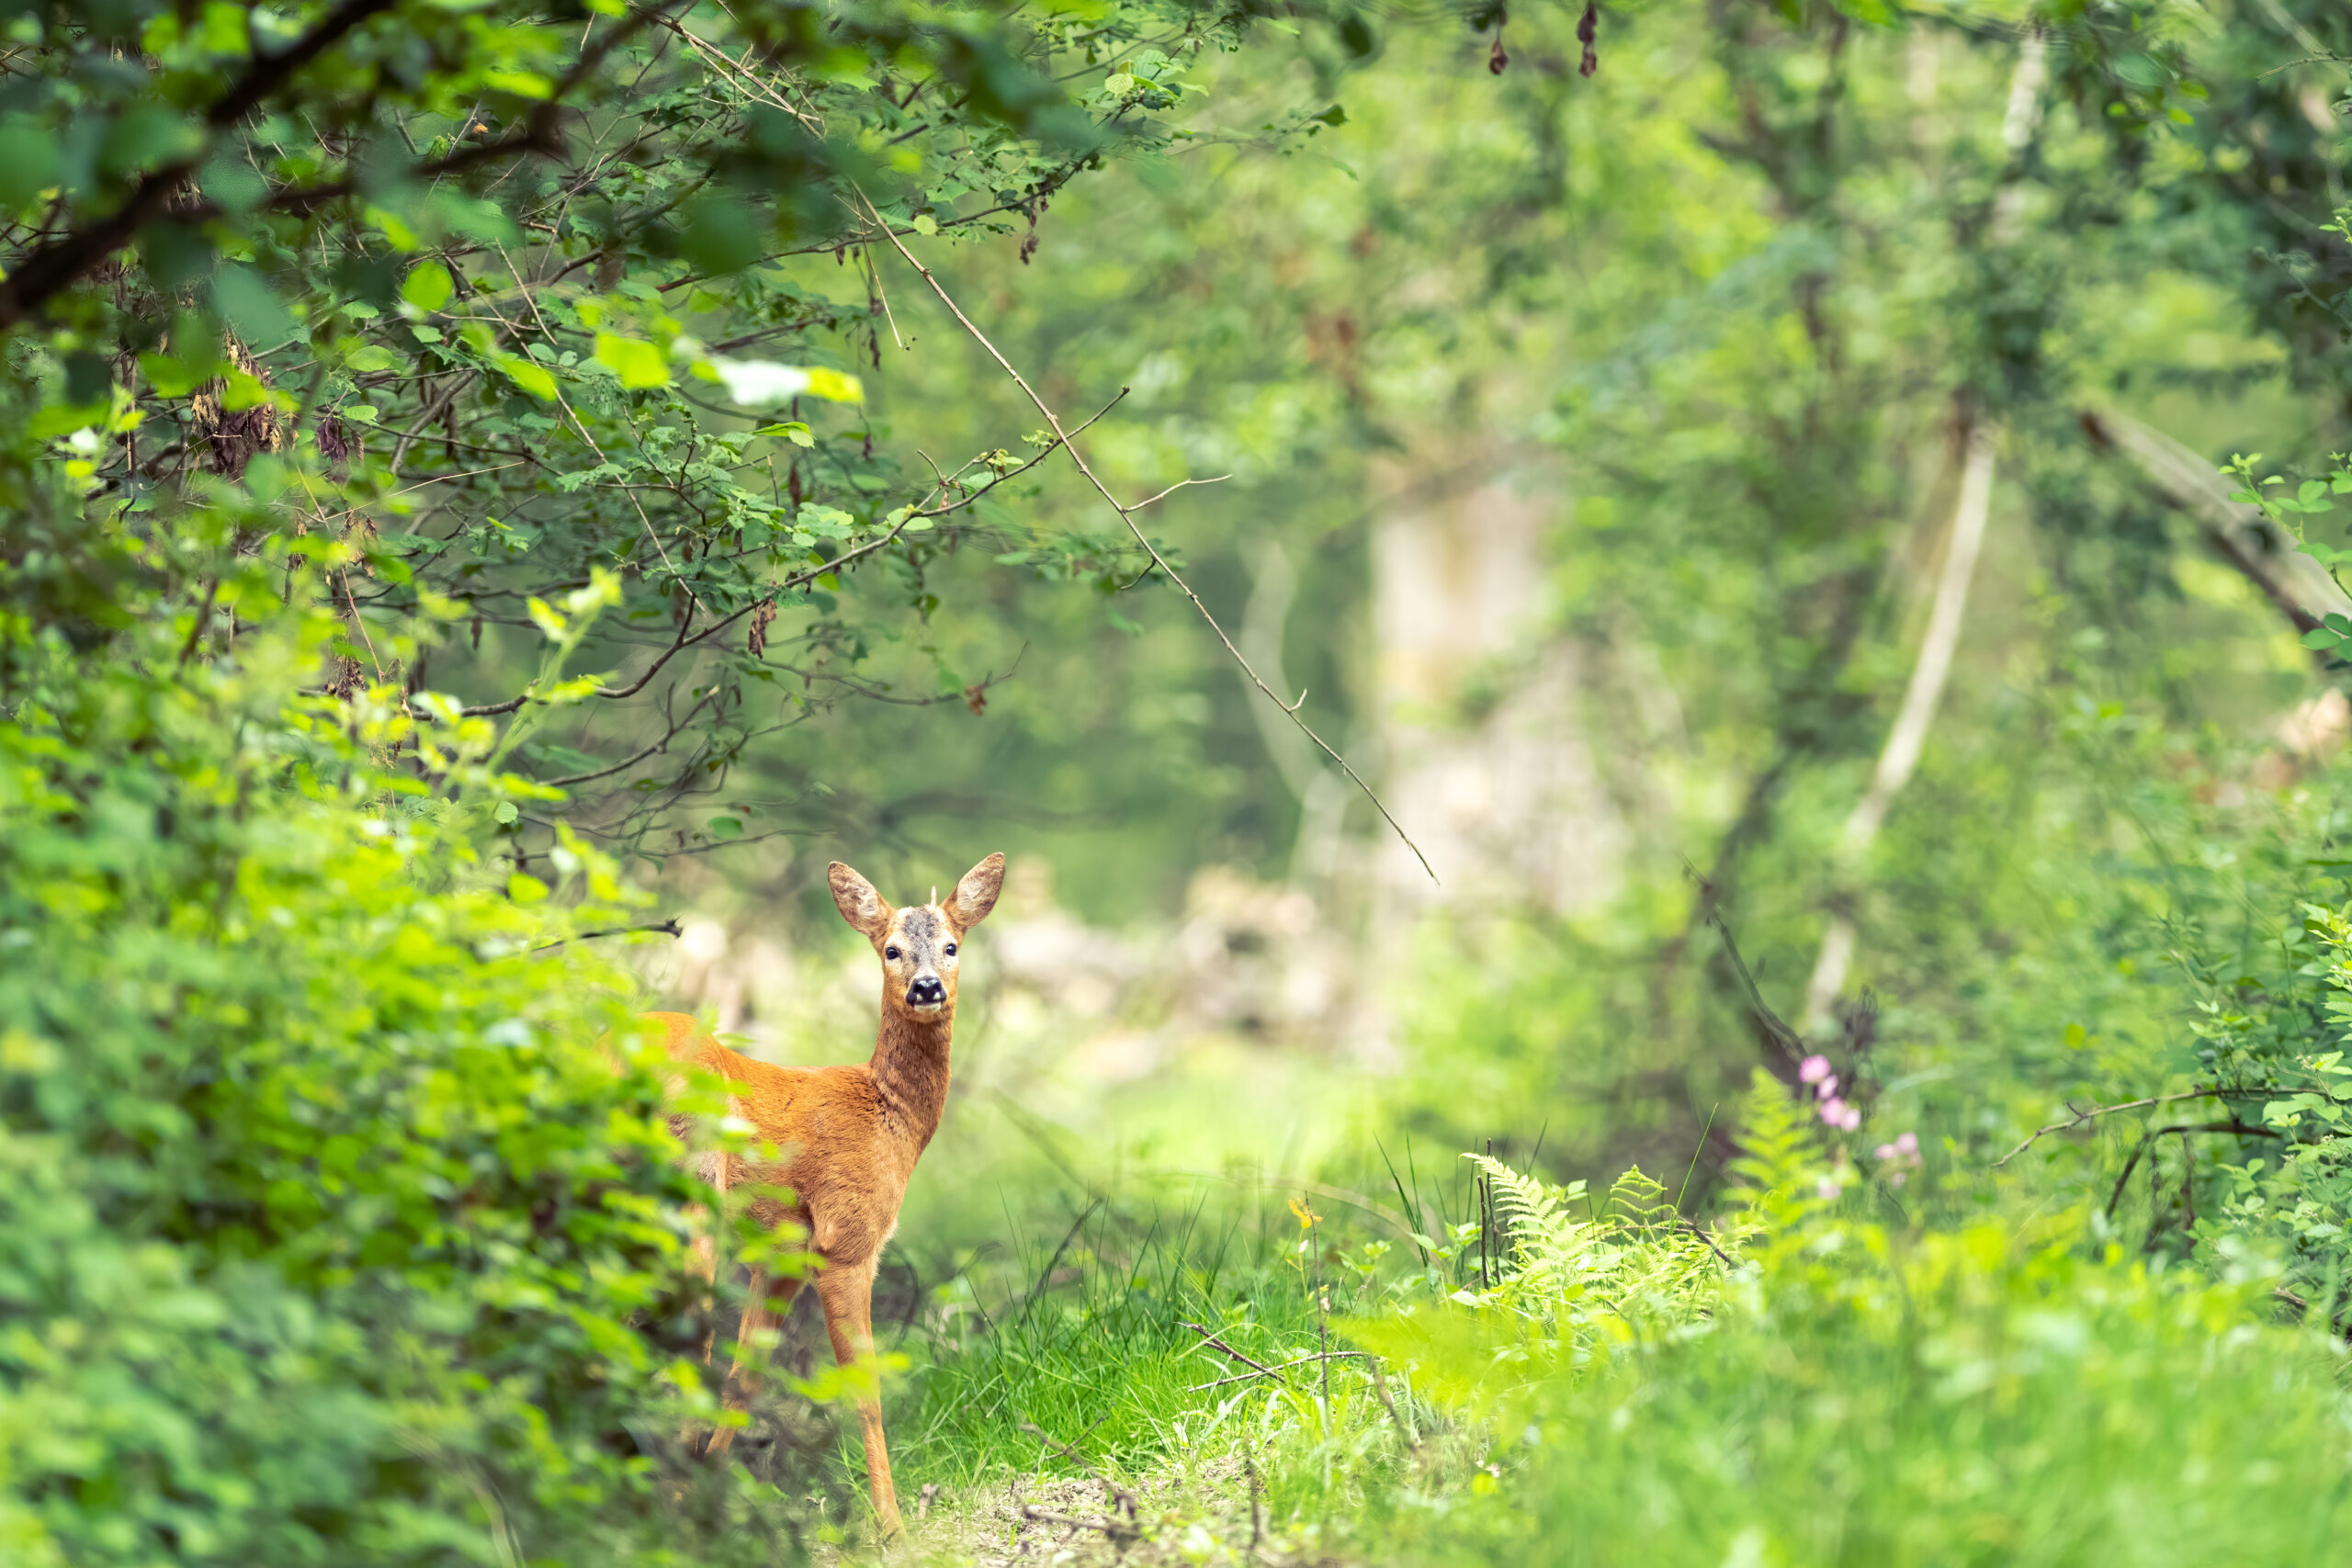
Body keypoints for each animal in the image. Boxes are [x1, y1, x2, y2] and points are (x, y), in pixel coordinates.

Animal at [649, 851, 1006, 1541]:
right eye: (891, 949)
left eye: (952, 945)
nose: (928, 987)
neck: (890, 1117)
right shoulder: (847, 1237)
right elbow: (863, 1389)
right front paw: (892, 1526)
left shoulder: (784, 1250)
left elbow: (744, 1378)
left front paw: (710, 1494)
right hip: (692, 1188)